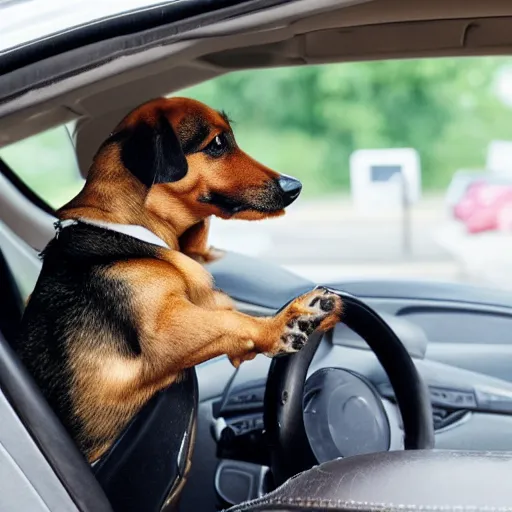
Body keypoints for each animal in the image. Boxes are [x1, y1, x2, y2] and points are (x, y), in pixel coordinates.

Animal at [16, 96, 344, 464]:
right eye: (218, 143)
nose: (294, 186)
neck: (132, 228)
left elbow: (233, 320)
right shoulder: (164, 328)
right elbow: (234, 321)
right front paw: (285, 323)